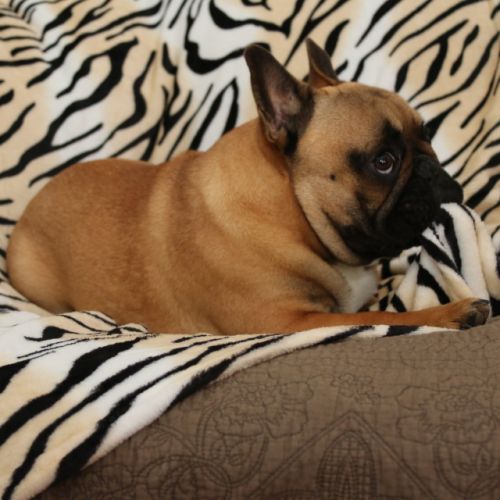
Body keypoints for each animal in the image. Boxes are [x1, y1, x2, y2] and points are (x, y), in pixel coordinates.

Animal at [6, 40, 490, 334]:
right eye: (383, 163)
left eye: (427, 135)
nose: (434, 170)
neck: (292, 208)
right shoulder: (292, 323)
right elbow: (397, 318)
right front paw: (453, 310)